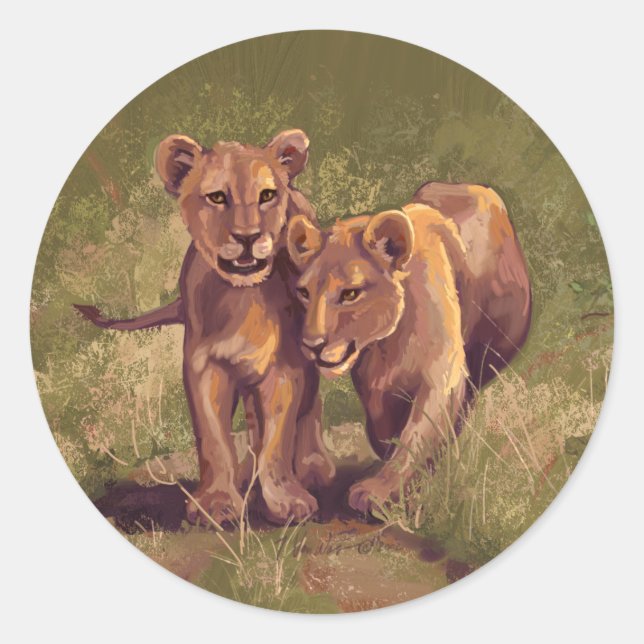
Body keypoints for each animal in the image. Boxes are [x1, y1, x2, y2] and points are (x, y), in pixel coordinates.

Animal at [75, 129, 335, 524]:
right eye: (217, 197)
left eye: (267, 195)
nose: (247, 236)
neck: (244, 297)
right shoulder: (204, 367)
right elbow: (214, 440)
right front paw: (217, 503)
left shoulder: (285, 368)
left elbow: (278, 438)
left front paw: (286, 500)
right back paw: (247, 477)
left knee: (309, 407)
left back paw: (312, 467)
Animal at [286, 182, 531, 514]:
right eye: (304, 293)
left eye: (350, 294)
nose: (312, 345)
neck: (388, 343)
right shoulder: (374, 384)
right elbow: (385, 424)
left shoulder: (442, 373)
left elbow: (417, 433)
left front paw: (377, 491)